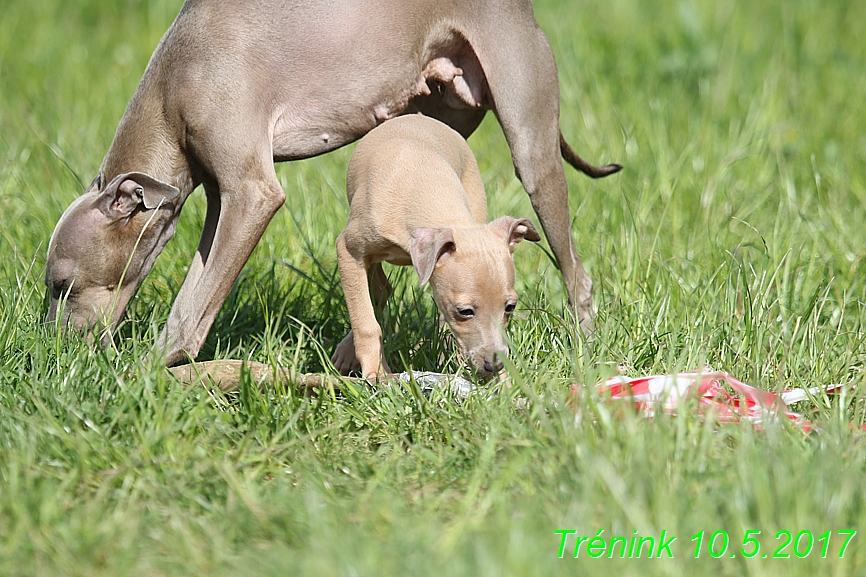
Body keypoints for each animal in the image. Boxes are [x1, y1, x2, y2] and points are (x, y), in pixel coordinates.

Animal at [44, 0, 620, 364]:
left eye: (60, 285)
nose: (50, 350)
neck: (171, 89)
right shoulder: (218, 199)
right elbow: (198, 290)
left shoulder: (252, 193)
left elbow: (194, 306)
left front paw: (147, 373)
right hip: (430, 133)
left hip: (531, 144)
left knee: (576, 273)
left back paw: (586, 352)